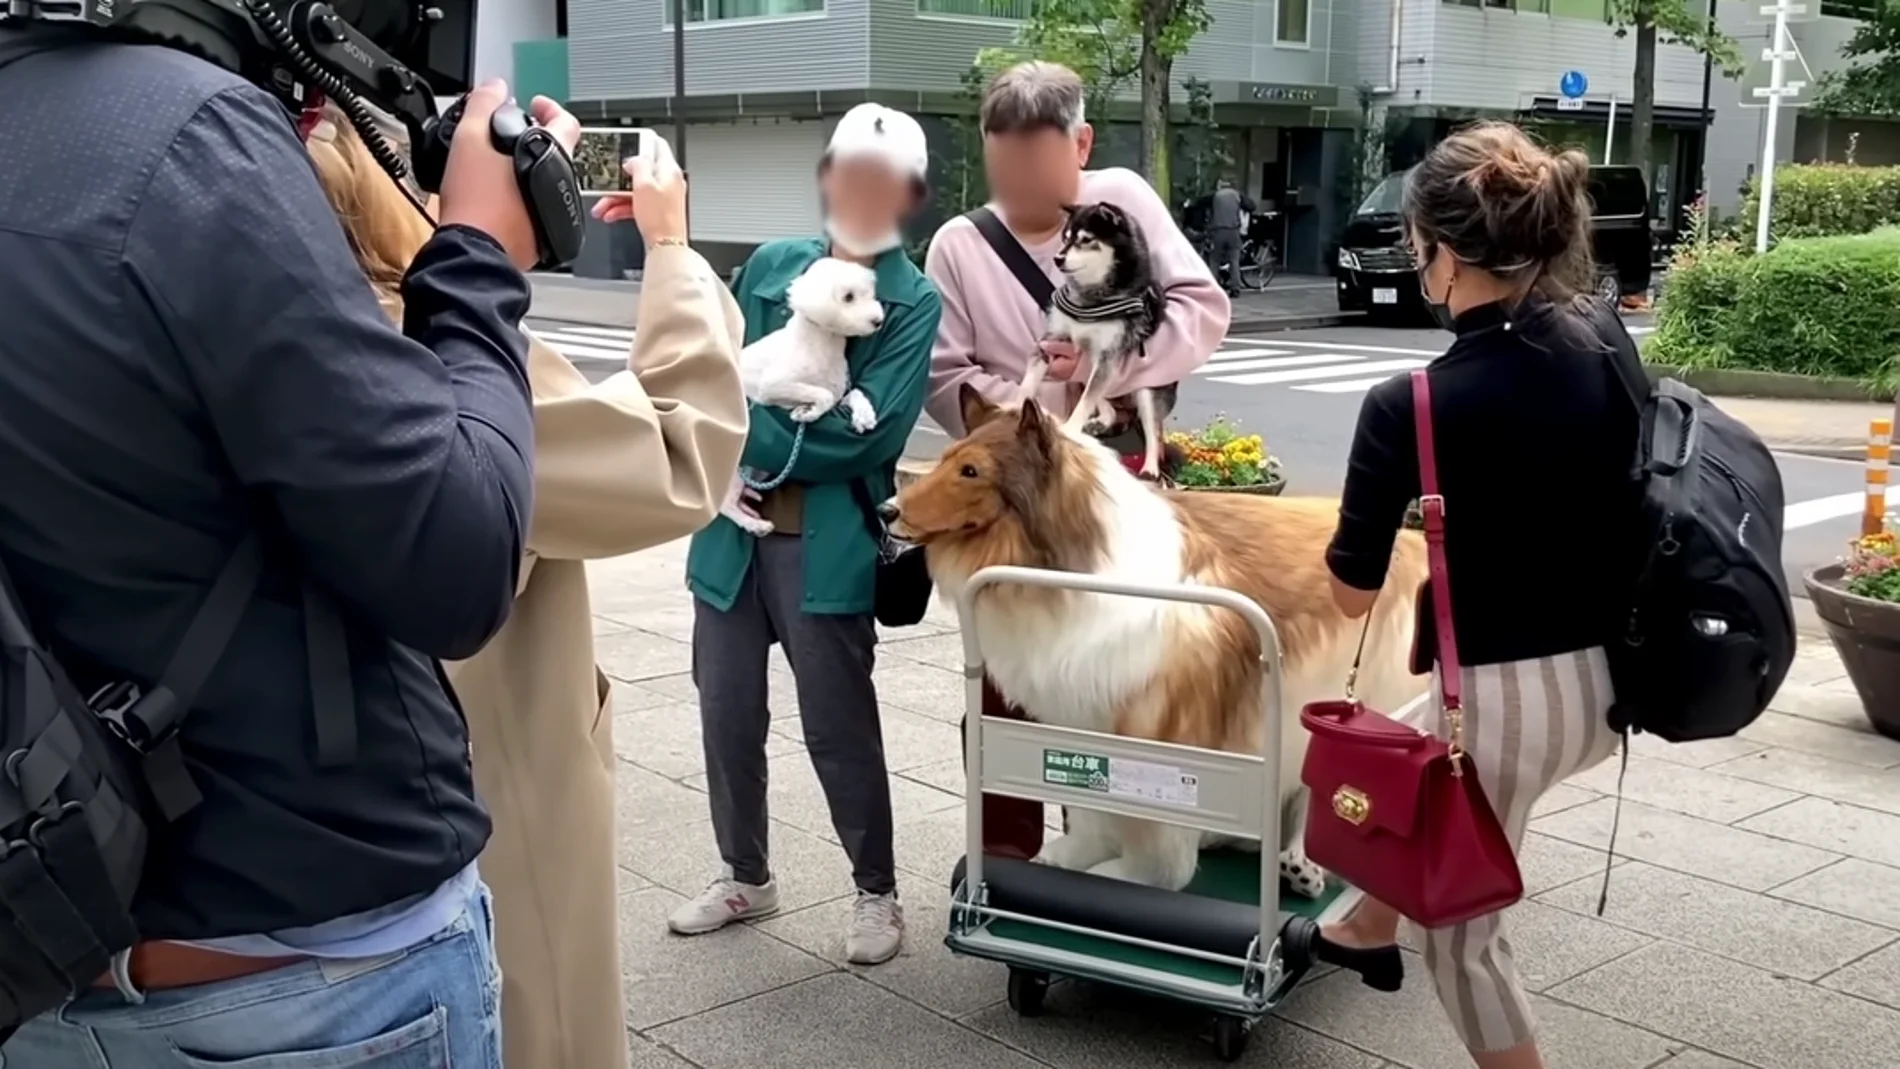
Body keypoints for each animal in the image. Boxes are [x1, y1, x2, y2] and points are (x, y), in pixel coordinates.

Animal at [1018, 199, 1178, 480]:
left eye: (1085, 240)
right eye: (1065, 238)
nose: (1058, 258)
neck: (1092, 297)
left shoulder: (1107, 355)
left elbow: (1085, 402)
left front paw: (1070, 429)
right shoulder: (1053, 339)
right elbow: (1030, 382)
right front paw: (1012, 405)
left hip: (1144, 389)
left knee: (1152, 429)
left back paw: (1150, 468)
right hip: (1088, 368)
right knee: (1104, 401)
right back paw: (1103, 419)